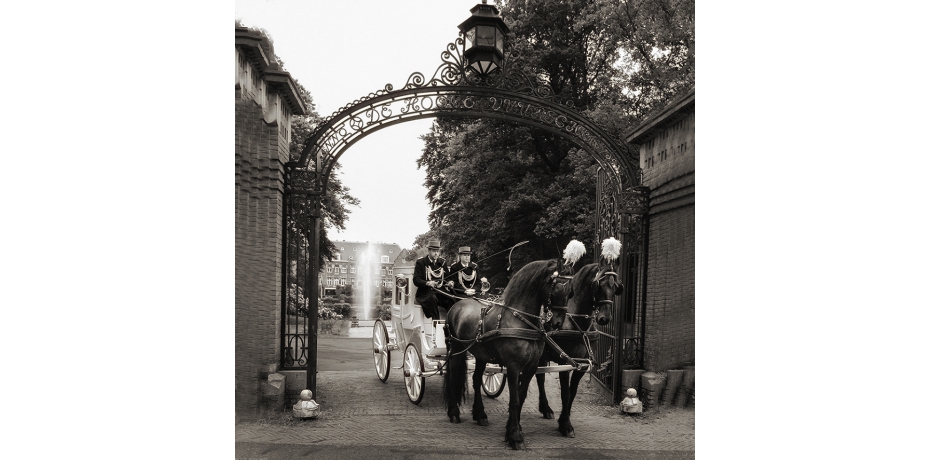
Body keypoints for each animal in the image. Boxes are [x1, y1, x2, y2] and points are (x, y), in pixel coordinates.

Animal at [440, 258, 564, 450]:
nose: (558, 322)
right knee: (454, 377)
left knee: (476, 380)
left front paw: (512, 430)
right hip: (456, 350)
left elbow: (521, 397)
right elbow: (514, 400)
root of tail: (457, 305)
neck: (519, 321)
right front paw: (515, 437)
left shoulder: (531, 367)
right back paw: (454, 413)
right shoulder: (513, 367)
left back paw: (480, 414)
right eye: (554, 285)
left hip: (481, 355)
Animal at [532, 260, 620, 436]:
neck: (578, 325)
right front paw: (566, 425)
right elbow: (565, 393)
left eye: (615, 287)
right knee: (539, 378)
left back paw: (545, 408)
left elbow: (572, 393)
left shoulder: (582, 365)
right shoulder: (565, 363)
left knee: (540, 377)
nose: (605, 318)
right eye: (598, 285)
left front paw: (564, 419)